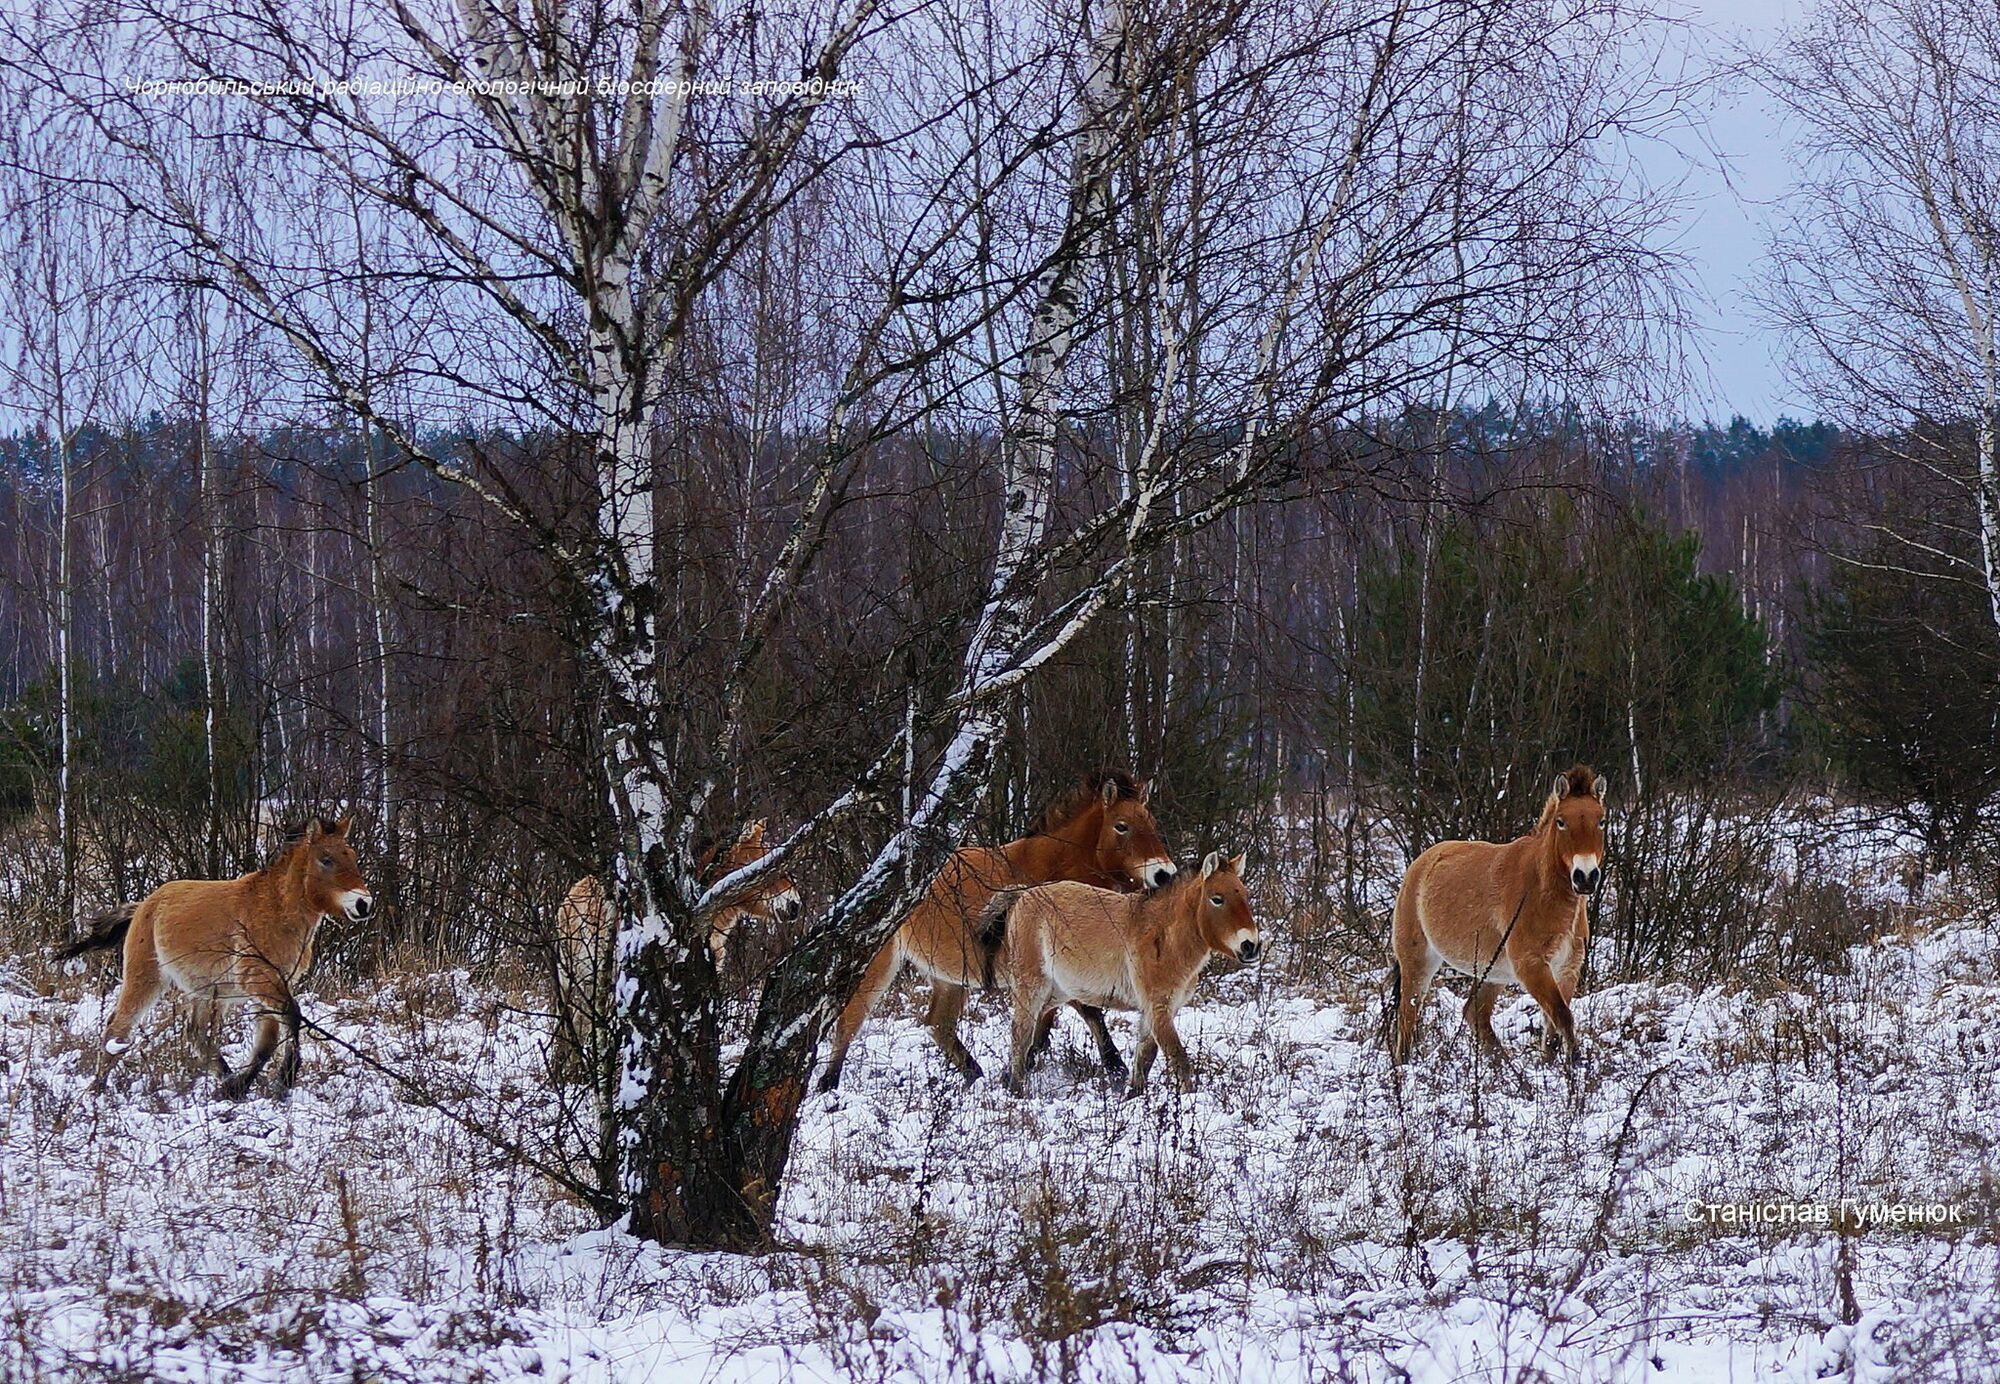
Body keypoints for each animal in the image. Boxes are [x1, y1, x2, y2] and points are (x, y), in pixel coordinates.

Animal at [59, 816, 376, 1096]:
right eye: (326, 859)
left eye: (352, 856)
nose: (363, 904)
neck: (275, 909)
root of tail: (145, 905)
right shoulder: (260, 980)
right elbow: (292, 1017)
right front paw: (283, 1077)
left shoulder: (275, 983)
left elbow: (268, 1040)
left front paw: (240, 1086)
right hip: (146, 978)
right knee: (118, 1028)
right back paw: (97, 1090)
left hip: (206, 991)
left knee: (196, 1035)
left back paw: (224, 1076)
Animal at [812, 768, 1168, 1096]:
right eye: (1121, 825)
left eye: (1152, 823)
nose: (1164, 873)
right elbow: (1087, 1011)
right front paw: (1115, 1068)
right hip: (879, 965)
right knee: (850, 1020)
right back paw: (828, 1085)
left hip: (950, 977)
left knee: (939, 1025)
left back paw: (975, 1075)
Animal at [988, 848, 1264, 1096]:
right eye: (1217, 898)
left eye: (1246, 895)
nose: (1250, 946)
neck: (1164, 936)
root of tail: (1022, 896)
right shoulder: (1158, 1008)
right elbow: (1178, 1059)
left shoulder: (1157, 1011)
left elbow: (1145, 1057)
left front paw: (1133, 1096)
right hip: (1032, 988)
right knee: (1020, 1035)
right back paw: (1017, 1091)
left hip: (1056, 993)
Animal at [1392, 764, 1608, 1064]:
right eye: (1561, 822)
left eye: (1601, 821)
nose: (1585, 877)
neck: (1543, 891)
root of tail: (1419, 864)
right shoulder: (1532, 965)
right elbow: (1563, 1017)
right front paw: (1574, 1069)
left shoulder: (1567, 968)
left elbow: (1553, 1029)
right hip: (1418, 963)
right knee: (1407, 1020)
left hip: (1493, 972)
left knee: (1474, 1013)